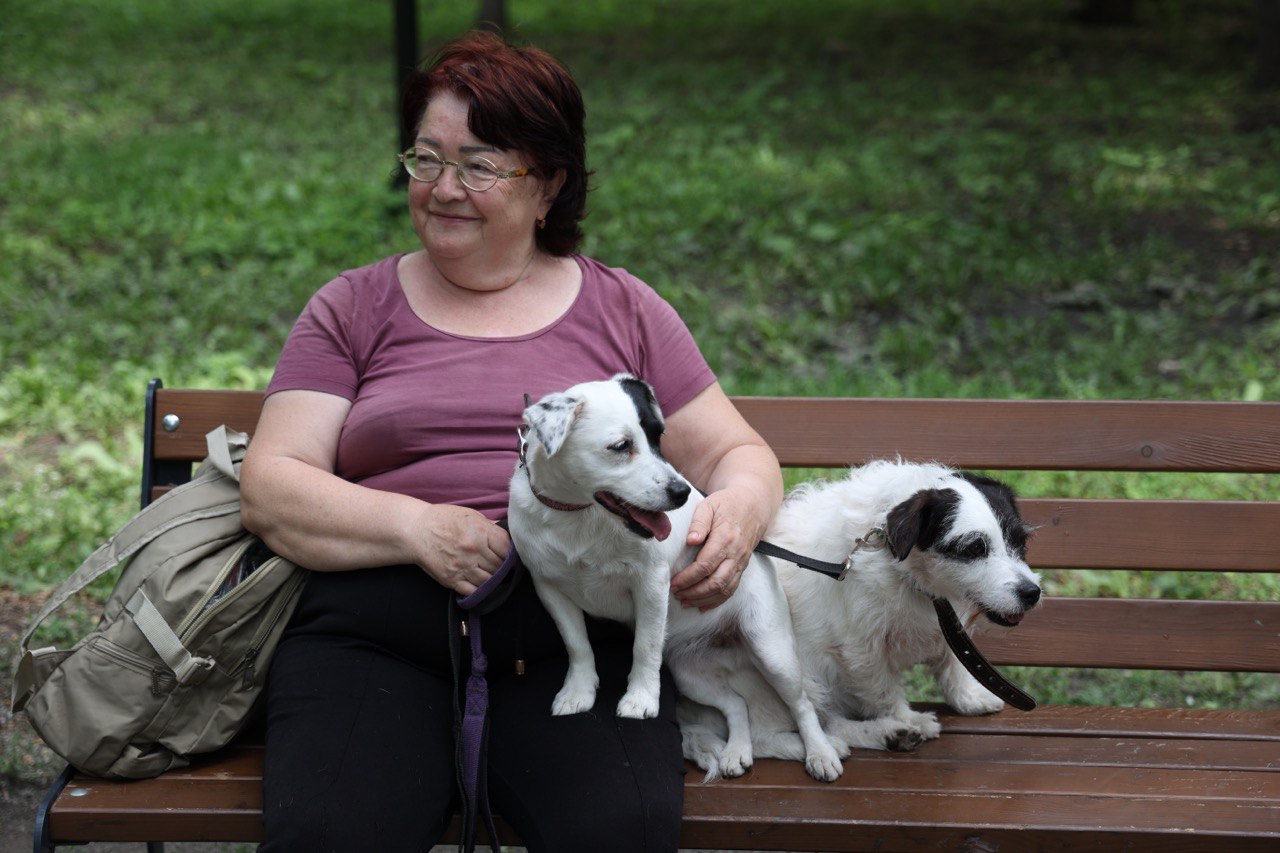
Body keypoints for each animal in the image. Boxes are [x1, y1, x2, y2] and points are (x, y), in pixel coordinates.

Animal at [509, 371, 849, 778]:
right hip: (691, 675)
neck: (580, 518)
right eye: (620, 446)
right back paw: (736, 752)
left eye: (659, 437)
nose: (682, 492)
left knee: (802, 705)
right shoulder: (550, 588)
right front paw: (578, 691)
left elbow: (645, 646)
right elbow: (577, 644)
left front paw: (640, 699)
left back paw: (820, 753)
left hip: (772, 652)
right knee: (737, 704)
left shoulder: (651, 585)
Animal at [675, 461, 1044, 768]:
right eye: (974, 548)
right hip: (780, 671)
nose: (1031, 593)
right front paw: (907, 718)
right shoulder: (861, 651)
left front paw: (967, 698)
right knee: (776, 730)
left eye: (1020, 542)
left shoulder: (944, 622)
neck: (895, 558)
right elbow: (884, 692)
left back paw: (888, 736)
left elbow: (952, 661)